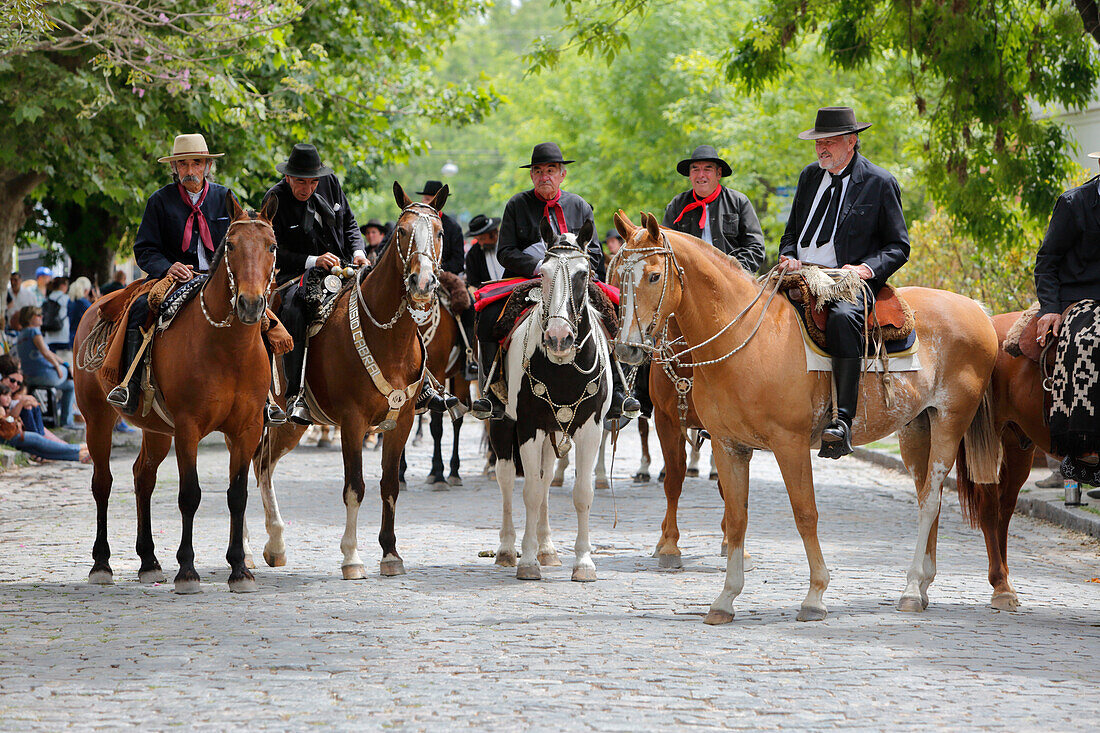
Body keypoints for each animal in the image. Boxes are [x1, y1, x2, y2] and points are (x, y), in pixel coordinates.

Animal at [73, 195, 277, 594]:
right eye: (231, 245)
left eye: (272, 246)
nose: (250, 305)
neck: (228, 349)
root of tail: (95, 305)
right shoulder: (188, 428)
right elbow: (190, 495)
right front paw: (187, 570)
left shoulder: (245, 430)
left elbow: (237, 495)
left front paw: (239, 569)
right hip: (97, 419)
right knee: (103, 483)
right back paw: (102, 564)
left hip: (155, 430)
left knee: (143, 478)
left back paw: (149, 561)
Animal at [253, 181, 446, 576]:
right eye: (402, 231)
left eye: (439, 232)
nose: (421, 282)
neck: (388, 336)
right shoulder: (352, 422)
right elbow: (355, 487)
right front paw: (351, 557)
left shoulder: (401, 422)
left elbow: (390, 485)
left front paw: (390, 554)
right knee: (255, 463)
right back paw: (260, 546)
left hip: (290, 426)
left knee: (263, 464)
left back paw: (275, 545)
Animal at [492, 220, 616, 581]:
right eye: (543, 273)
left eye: (583, 274)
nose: (559, 338)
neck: (563, 367)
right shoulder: (528, 427)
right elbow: (530, 492)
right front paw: (528, 562)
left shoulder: (591, 429)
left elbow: (581, 493)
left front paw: (584, 562)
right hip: (502, 423)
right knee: (508, 478)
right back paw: (508, 549)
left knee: (546, 478)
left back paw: (547, 548)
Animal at [611, 212, 1007, 620]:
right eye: (617, 273)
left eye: (653, 275)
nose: (626, 348)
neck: (746, 340)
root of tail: (977, 309)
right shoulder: (728, 445)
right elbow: (736, 517)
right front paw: (725, 599)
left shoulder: (790, 444)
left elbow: (805, 514)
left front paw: (815, 594)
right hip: (916, 428)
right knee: (929, 494)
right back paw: (924, 585)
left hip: (949, 422)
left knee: (930, 499)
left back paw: (912, 588)